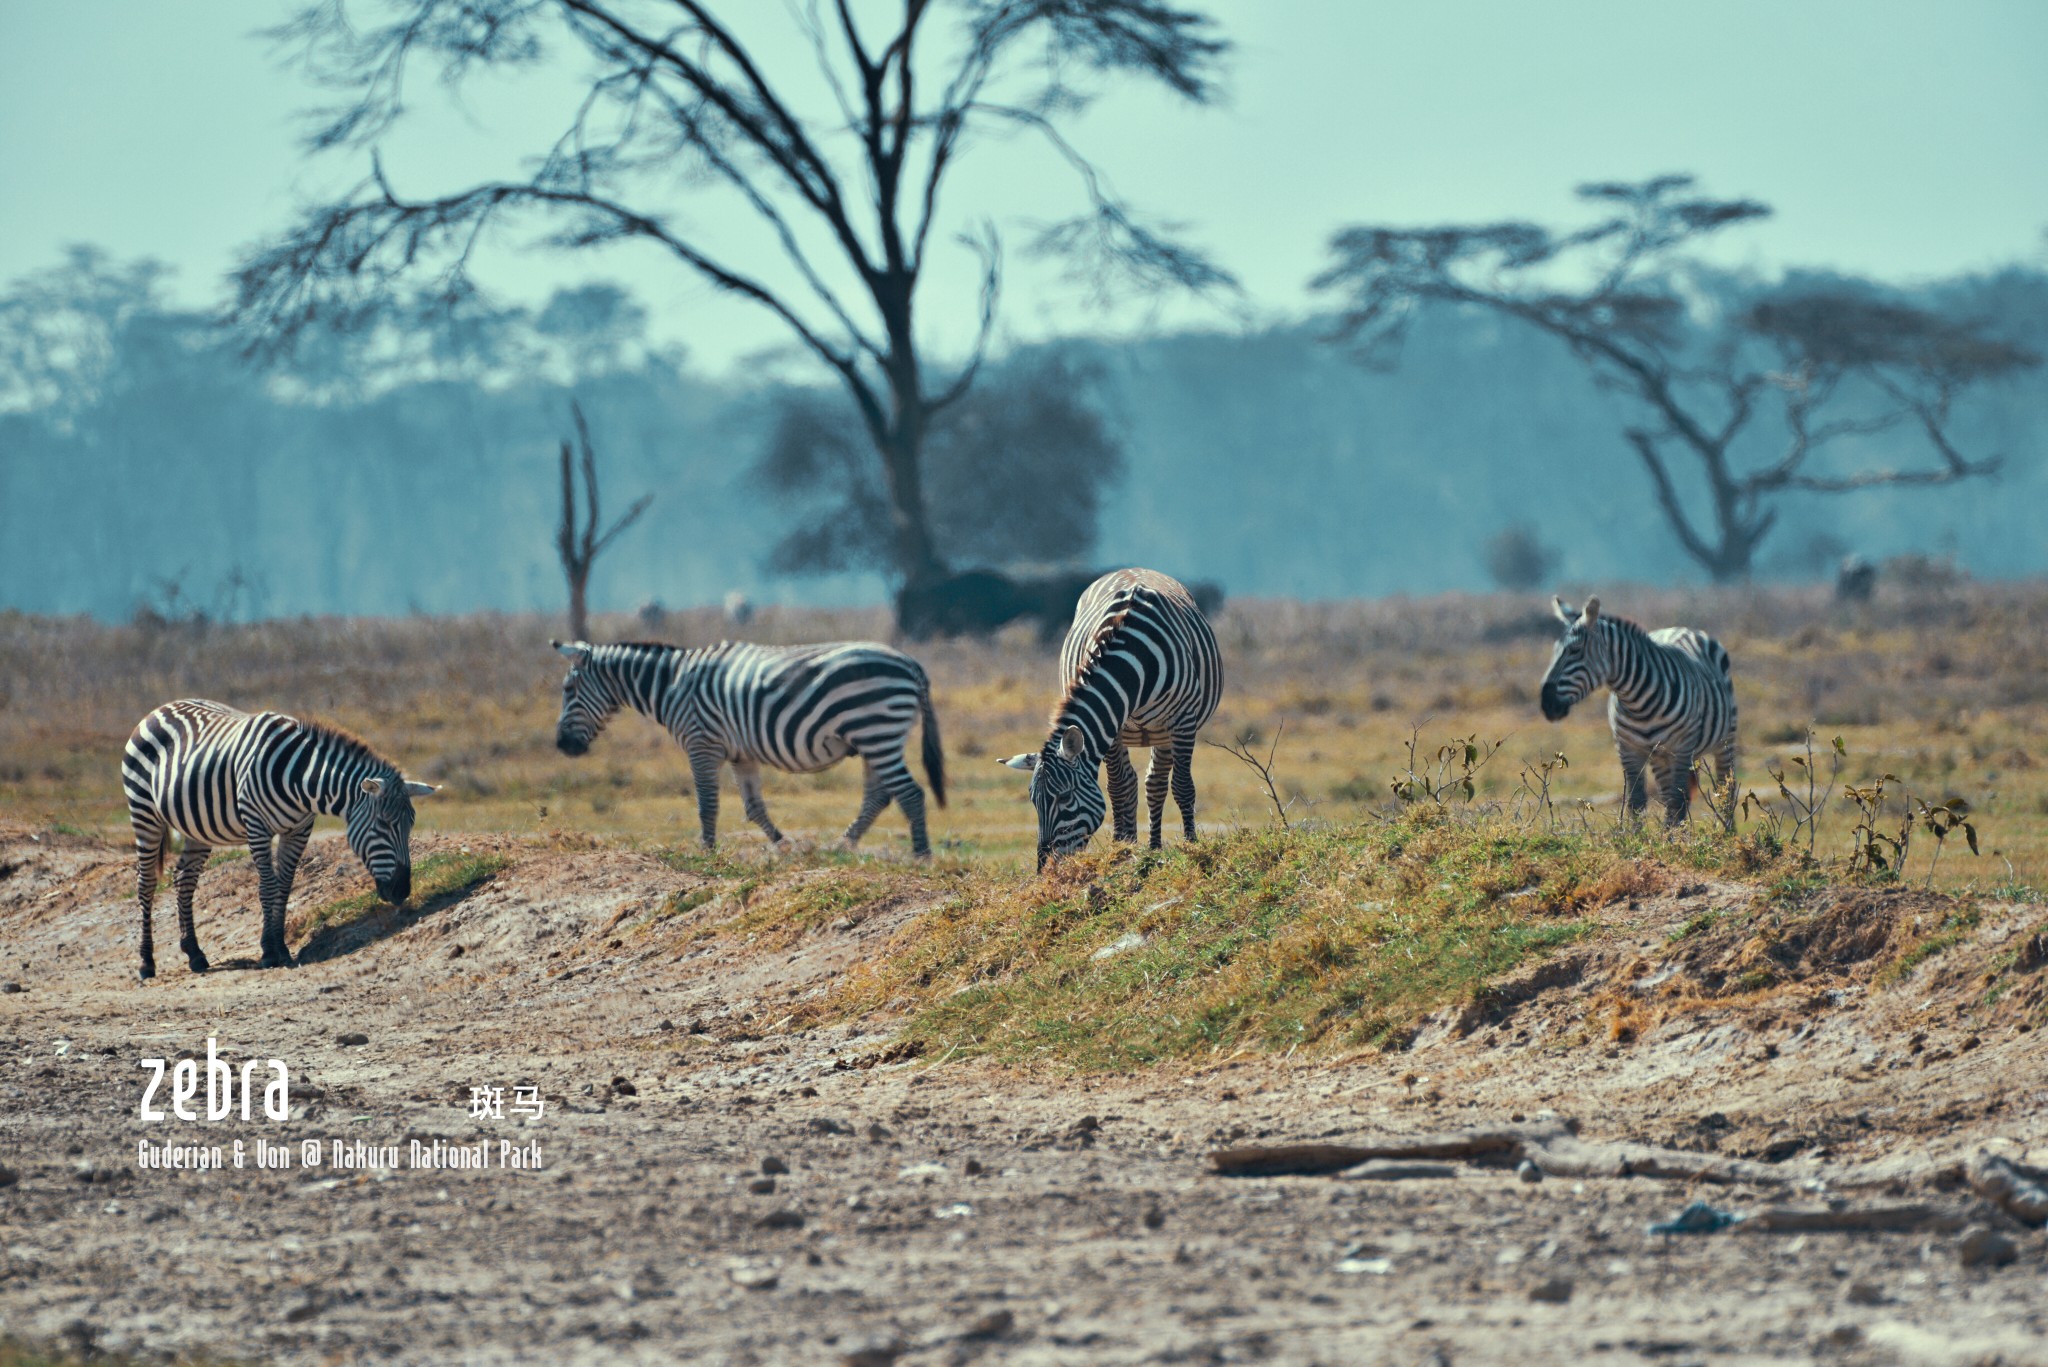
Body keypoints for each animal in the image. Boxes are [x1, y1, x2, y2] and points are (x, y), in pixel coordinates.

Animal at [122, 700, 436, 979]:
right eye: (383, 823)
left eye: (410, 825)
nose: (402, 891)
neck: (300, 779)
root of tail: (160, 708)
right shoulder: (257, 826)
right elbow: (268, 886)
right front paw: (269, 951)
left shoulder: (299, 830)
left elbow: (284, 886)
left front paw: (281, 948)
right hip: (144, 812)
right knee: (145, 883)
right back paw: (146, 963)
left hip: (196, 828)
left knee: (184, 879)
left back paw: (195, 954)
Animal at [557, 639, 946, 856]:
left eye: (567, 690)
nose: (562, 745)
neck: (672, 685)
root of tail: (910, 663)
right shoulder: (741, 755)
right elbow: (754, 808)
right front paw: (784, 846)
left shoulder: (702, 744)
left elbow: (707, 804)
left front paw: (706, 852)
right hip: (874, 739)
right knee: (879, 796)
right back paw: (842, 846)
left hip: (877, 730)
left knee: (910, 793)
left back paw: (921, 855)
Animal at [1003, 569, 1220, 873]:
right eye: (1033, 801)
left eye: (1065, 797)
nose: (1046, 870)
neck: (1133, 658)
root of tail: (1135, 568)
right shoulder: (1114, 729)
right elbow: (1118, 788)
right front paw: (1120, 851)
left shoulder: (1183, 719)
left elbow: (1182, 786)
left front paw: (1192, 847)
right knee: (1133, 782)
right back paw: (1133, 844)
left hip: (1163, 731)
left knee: (1156, 783)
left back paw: (1155, 847)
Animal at [1540, 594, 1736, 827]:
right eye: (1554, 651)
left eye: (1575, 651)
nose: (1546, 705)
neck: (1639, 704)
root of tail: (1683, 628)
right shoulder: (1627, 749)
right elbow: (1637, 801)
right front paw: (1639, 836)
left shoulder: (1681, 747)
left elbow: (1677, 802)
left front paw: (1671, 838)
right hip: (1660, 757)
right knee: (1672, 795)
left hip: (1724, 740)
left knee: (1725, 789)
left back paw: (1728, 833)